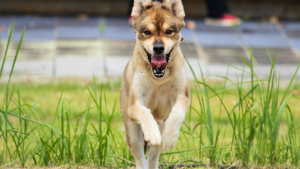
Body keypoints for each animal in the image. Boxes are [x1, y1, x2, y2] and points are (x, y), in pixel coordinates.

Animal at [119, 0, 190, 168]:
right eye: (147, 32)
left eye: (169, 31)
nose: (158, 48)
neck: (159, 78)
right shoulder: (134, 104)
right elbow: (144, 112)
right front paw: (152, 133)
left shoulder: (183, 96)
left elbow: (177, 113)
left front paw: (170, 138)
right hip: (133, 132)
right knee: (140, 159)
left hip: (160, 125)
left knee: (152, 159)